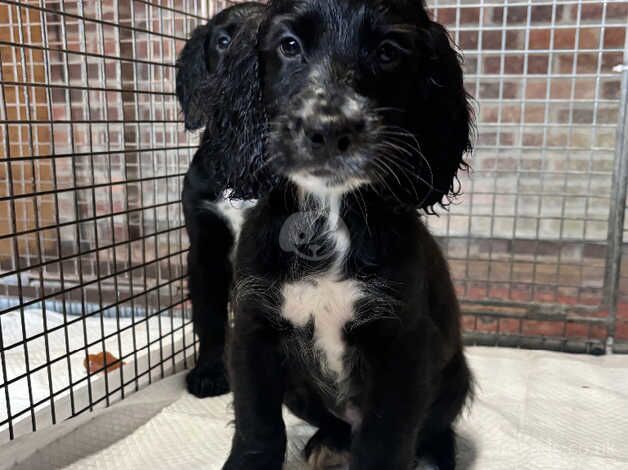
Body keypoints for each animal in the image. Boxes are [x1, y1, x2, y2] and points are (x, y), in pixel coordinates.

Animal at [218, 0, 474, 468]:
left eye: (388, 51)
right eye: (289, 45)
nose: (330, 129)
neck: (331, 213)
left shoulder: (403, 345)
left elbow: (385, 438)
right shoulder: (251, 328)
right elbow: (256, 422)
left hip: (455, 376)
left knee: (435, 430)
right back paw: (329, 442)